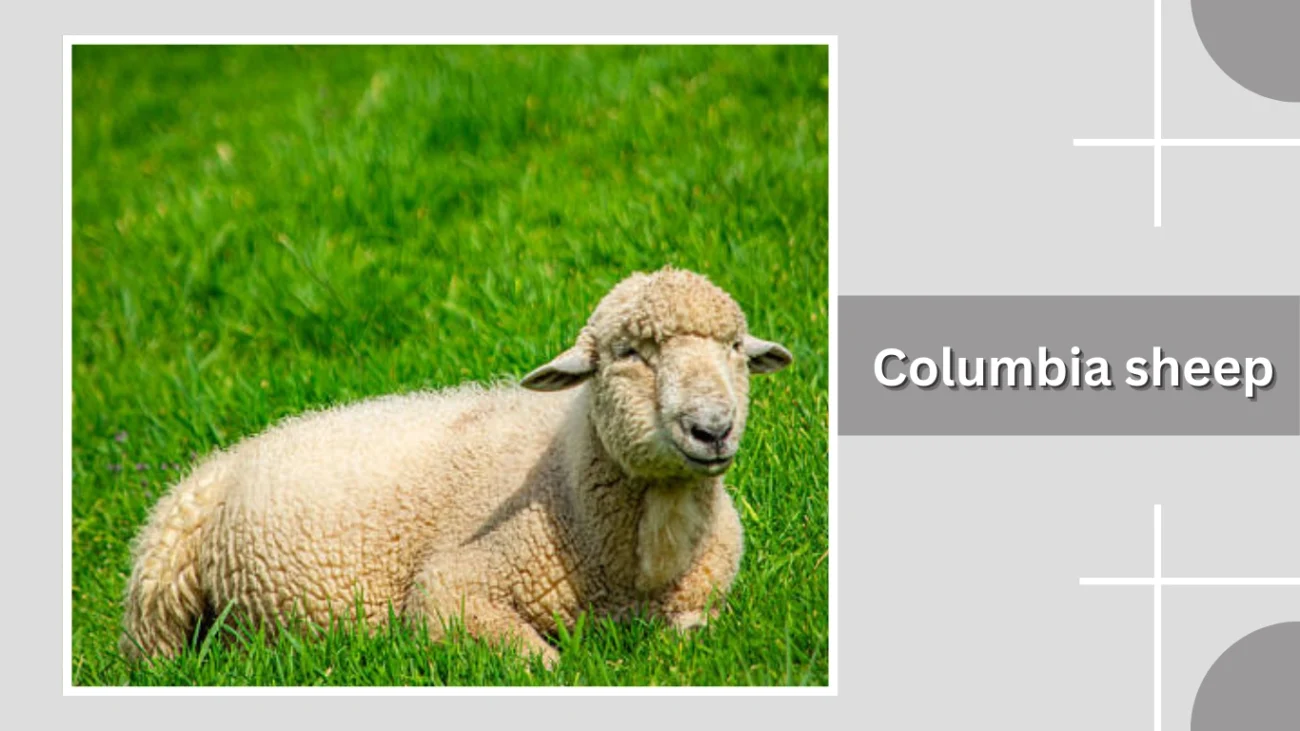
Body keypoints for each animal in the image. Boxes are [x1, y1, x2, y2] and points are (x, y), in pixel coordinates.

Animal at [119, 267, 793, 668]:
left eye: (735, 347)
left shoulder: (704, 599)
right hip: (157, 585)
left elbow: (693, 633)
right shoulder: (450, 587)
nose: (712, 428)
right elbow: (540, 662)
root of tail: (233, 452)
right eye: (630, 353)